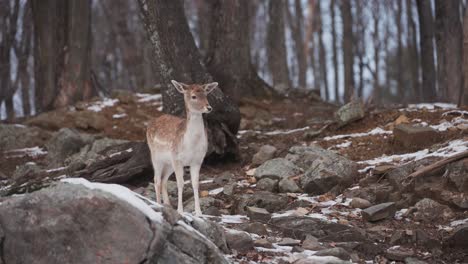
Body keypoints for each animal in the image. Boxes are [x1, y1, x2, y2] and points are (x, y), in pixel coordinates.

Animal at [146, 79, 218, 216]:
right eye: (194, 96)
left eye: (206, 94)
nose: (209, 107)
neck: (190, 145)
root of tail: (149, 125)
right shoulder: (177, 158)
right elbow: (180, 183)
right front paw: (180, 210)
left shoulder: (197, 160)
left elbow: (195, 184)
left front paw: (199, 212)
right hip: (156, 157)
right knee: (156, 179)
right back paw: (158, 204)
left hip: (169, 163)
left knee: (163, 180)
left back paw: (167, 204)